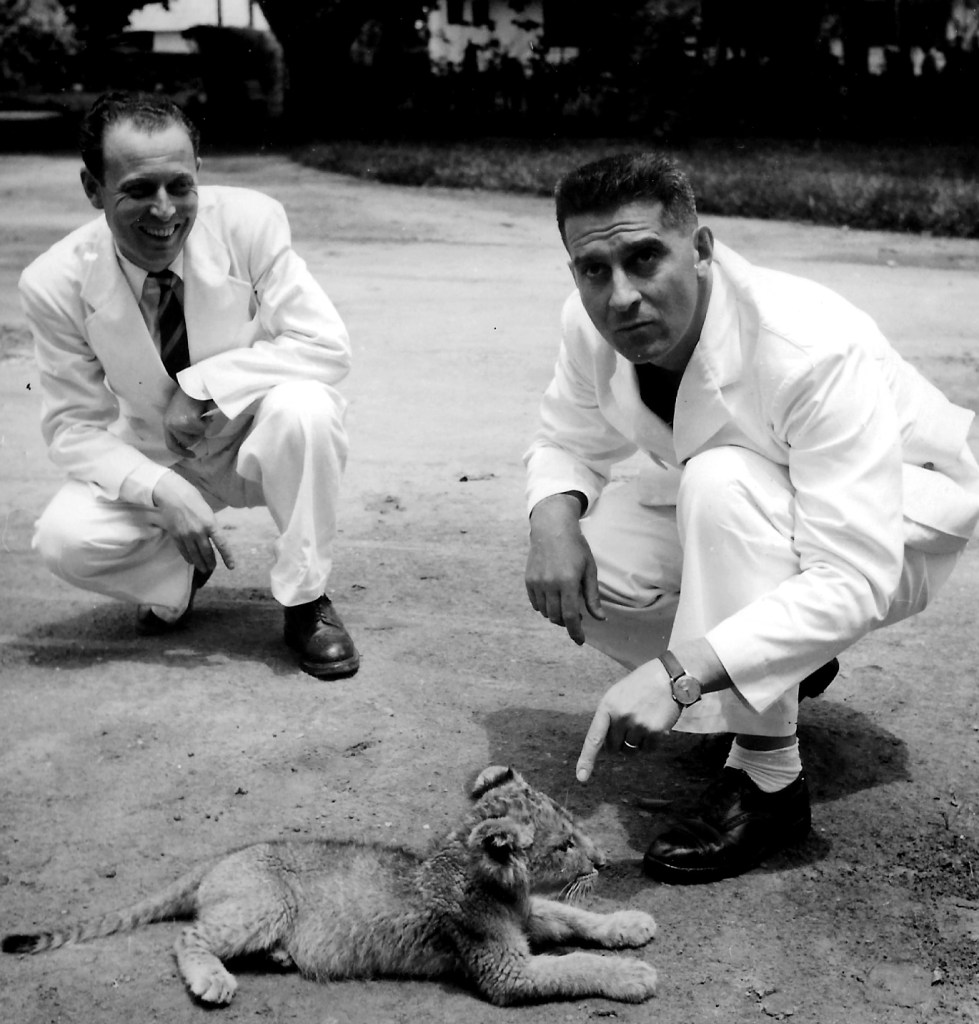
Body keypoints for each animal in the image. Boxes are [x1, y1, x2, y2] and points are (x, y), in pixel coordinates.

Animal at [3, 765, 658, 1006]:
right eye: (564, 845)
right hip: (264, 904)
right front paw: (632, 976)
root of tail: (223, 858)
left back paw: (277, 958)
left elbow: (574, 920)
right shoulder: (502, 970)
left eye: (574, 829)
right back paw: (215, 980)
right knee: (189, 936)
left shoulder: (527, 918)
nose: (602, 861)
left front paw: (629, 925)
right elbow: (573, 964)